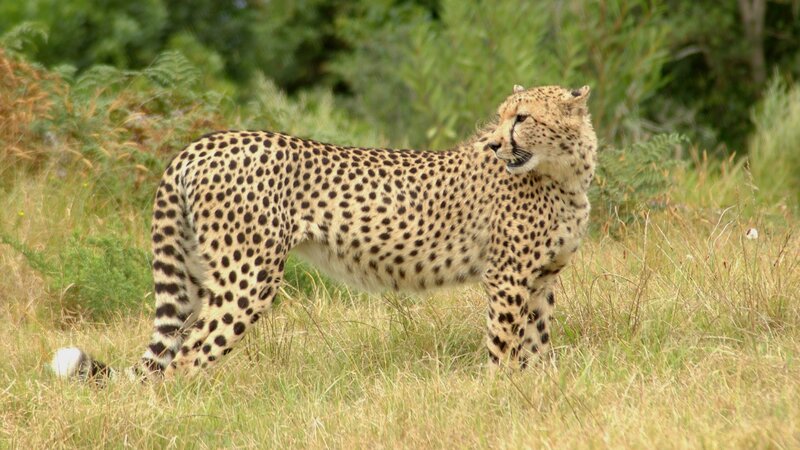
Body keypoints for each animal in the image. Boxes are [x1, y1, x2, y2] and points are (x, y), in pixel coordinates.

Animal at [51, 84, 597, 381]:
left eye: (522, 117)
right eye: (503, 117)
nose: (495, 143)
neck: (565, 173)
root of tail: (202, 143)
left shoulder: (541, 279)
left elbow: (538, 345)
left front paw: (539, 388)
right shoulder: (507, 278)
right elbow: (505, 346)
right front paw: (498, 392)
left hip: (197, 277)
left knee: (166, 360)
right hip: (247, 278)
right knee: (187, 358)